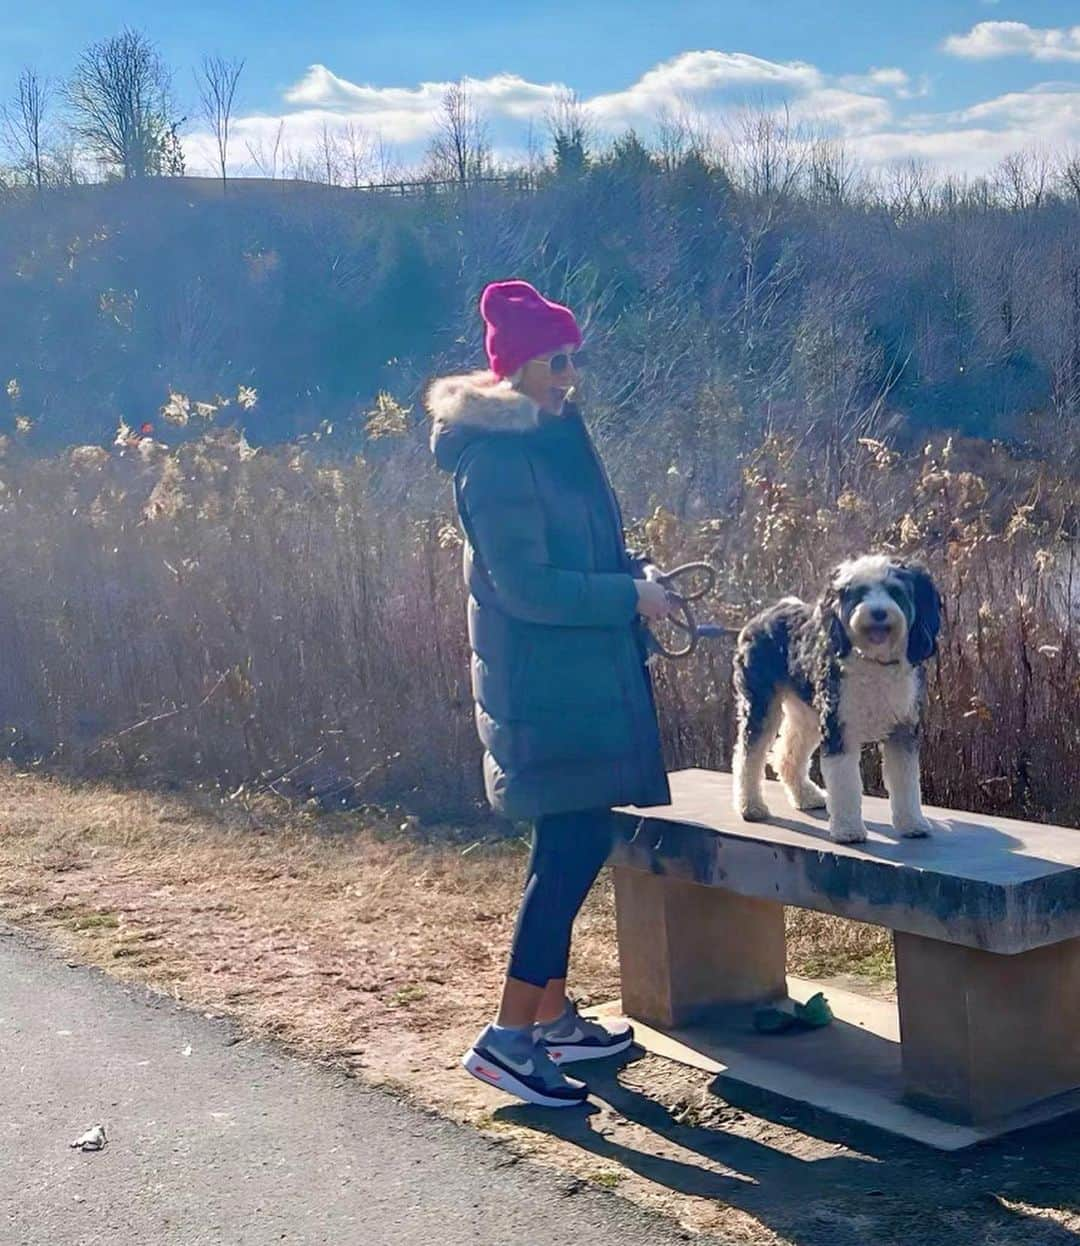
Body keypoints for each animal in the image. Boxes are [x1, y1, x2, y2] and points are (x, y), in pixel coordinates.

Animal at [732, 558, 941, 842]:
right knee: (747, 755)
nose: (878, 613)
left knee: (787, 755)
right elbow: (845, 785)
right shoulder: (839, 730)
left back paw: (807, 796)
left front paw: (912, 823)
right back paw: (751, 806)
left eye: (895, 591)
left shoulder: (902, 730)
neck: (873, 662)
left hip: (807, 714)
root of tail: (770, 612)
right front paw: (848, 830)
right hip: (761, 705)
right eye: (858, 593)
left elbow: (906, 781)